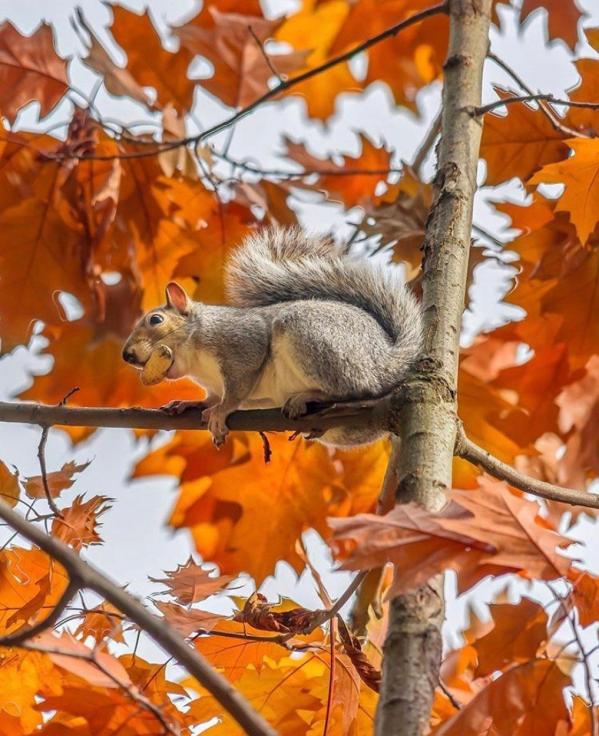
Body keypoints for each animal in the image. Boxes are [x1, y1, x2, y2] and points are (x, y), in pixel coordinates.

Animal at [122, 224, 424, 446]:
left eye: (156, 320)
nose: (127, 356)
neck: (196, 362)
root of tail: (386, 362)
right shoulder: (214, 384)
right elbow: (211, 397)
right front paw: (189, 404)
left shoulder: (241, 344)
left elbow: (236, 390)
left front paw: (220, 412)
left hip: (316, 340)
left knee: (357, 388)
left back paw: (311, 397)